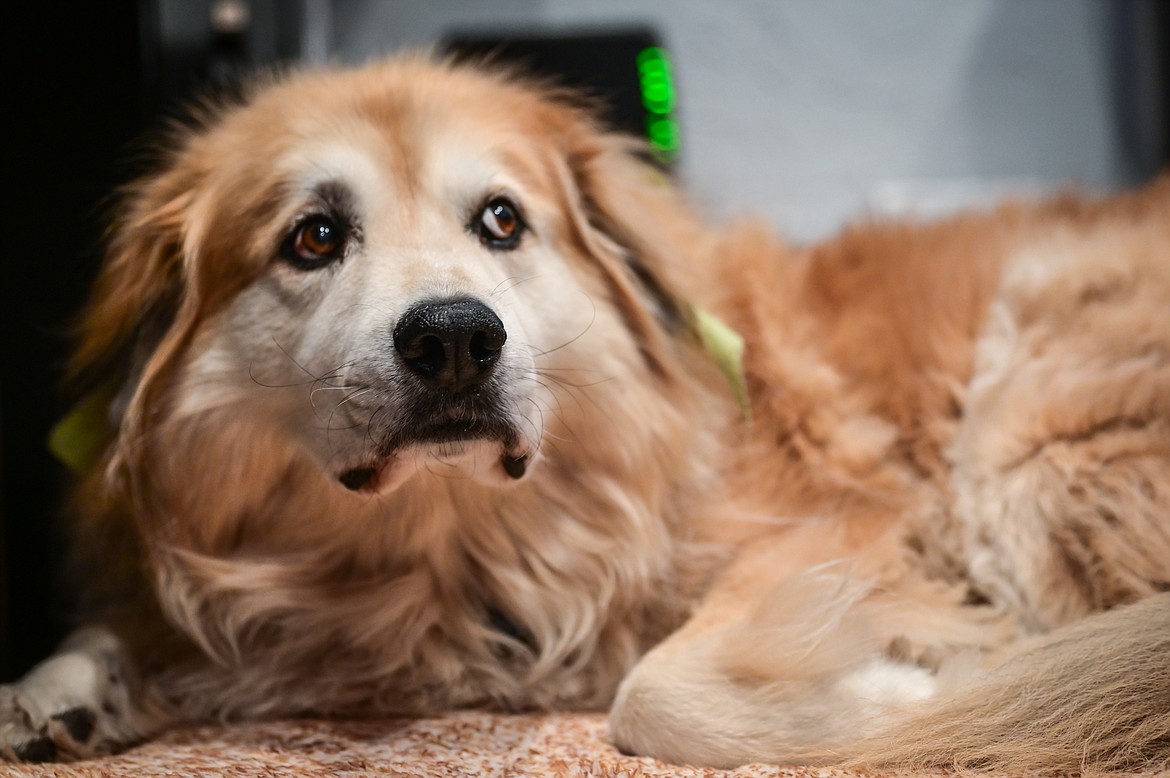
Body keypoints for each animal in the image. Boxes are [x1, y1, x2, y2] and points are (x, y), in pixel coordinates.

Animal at [2, 56, 1170, 772]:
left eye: (501, 220)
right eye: (314, 237)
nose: (455, 339)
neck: (449, 548)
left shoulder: (839, 528)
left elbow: (653, 693)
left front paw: (926, 696)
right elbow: (118, 632)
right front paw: (57, 688)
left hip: (1024, 445)